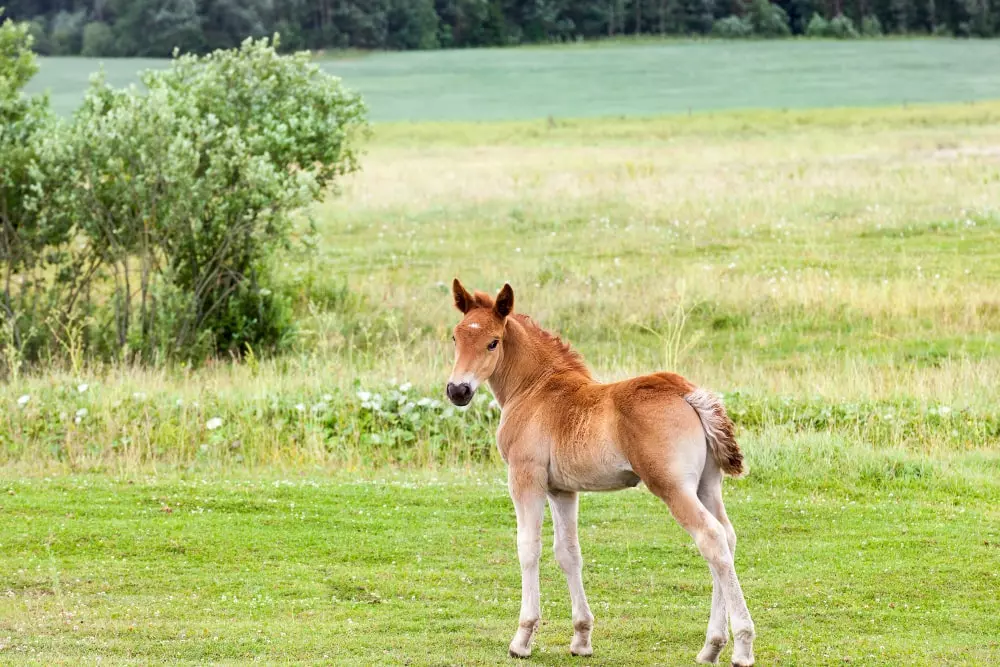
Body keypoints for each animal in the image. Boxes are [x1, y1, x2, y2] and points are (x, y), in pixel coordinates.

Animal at [448, 280, 756, 664]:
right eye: (456, 337)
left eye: (493, 342)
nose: (457, 390)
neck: (535, 389)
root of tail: (687, 392)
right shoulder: (562, 489)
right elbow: (568, 552)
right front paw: (581, 639)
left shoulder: (525, 477)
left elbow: (528, 547)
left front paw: (522, 639)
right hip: (707, 485)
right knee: (727, 536)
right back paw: (711, 647)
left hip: (673, 487)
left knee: (711, 538)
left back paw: (740, 646)